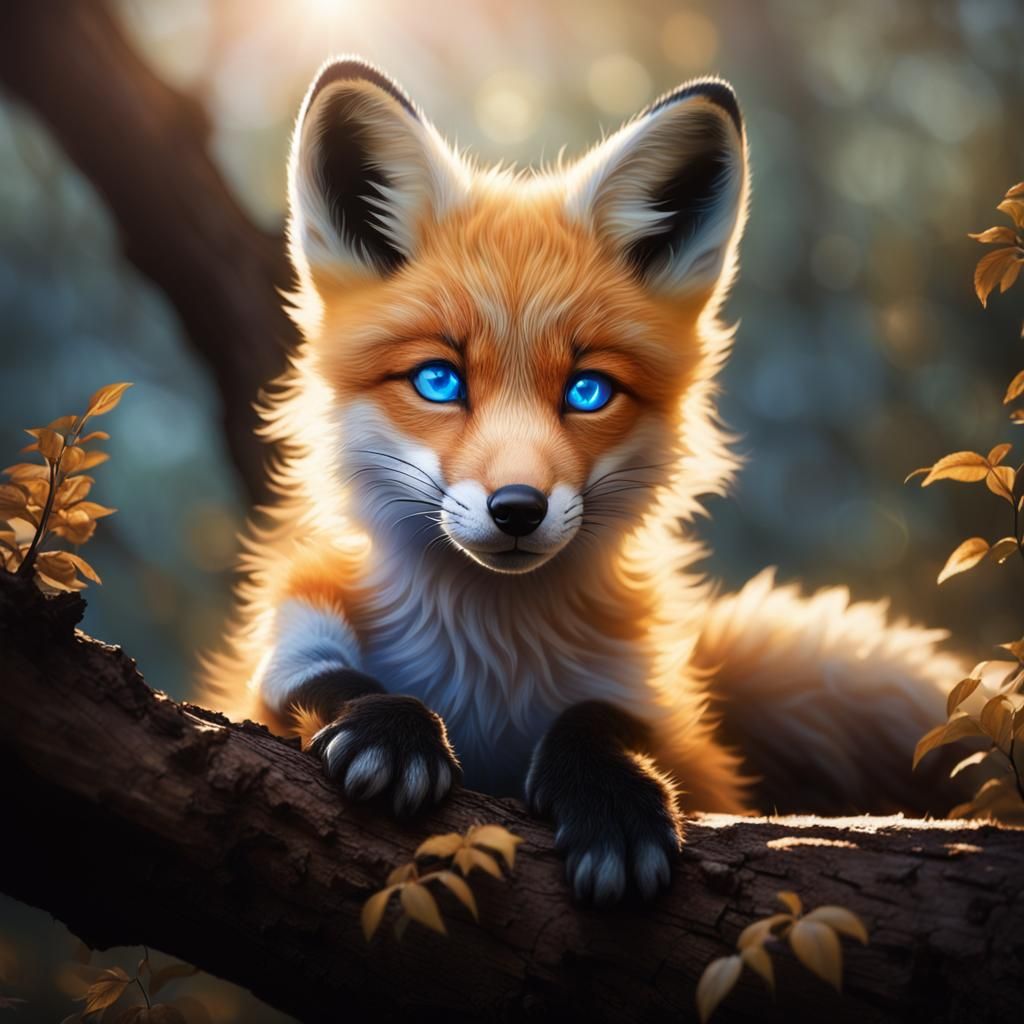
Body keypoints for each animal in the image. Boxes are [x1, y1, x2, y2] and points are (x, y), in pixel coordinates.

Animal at [201, 57, 967, 906]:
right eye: (438, 380)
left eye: (588, 390)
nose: (516, 510)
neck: (490, 664)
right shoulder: (284, 639)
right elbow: (321, 677)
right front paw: (392, 728)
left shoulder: (662, 706)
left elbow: (603, 719)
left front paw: (613, 805)